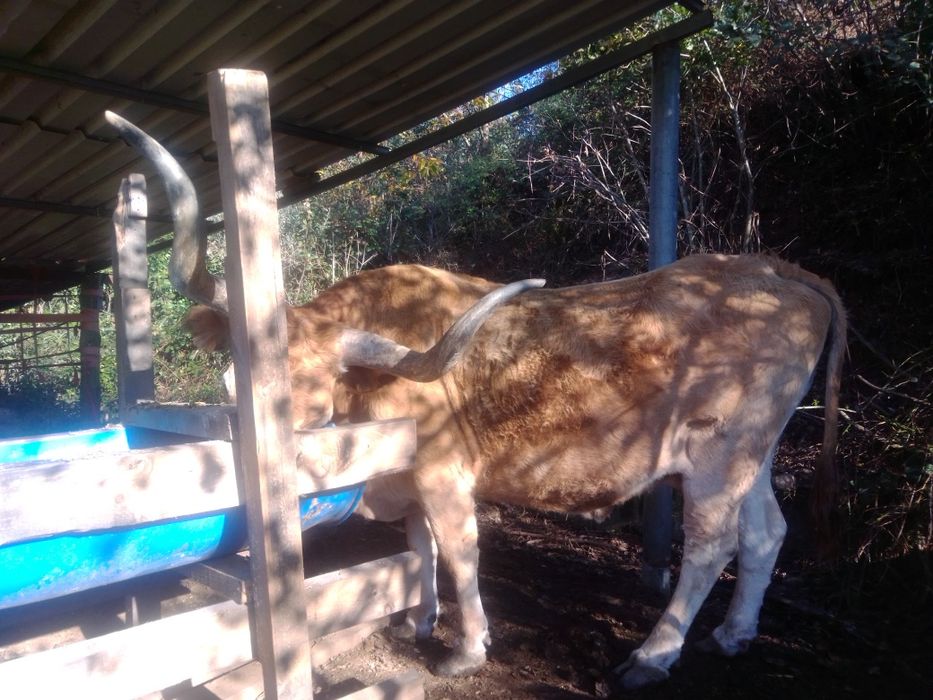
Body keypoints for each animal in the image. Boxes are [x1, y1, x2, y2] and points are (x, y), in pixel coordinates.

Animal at [106, 112, 846, 689]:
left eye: (309, 395)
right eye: (233, 382)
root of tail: (772, 268)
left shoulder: (444, 475)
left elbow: (459, 553)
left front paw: (465, 648)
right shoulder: (409, 484)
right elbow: (419, 547)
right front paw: (418, 618)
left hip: (717, 455)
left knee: (710, 545)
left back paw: (653, 655)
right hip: (754, 451)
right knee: (765, 532)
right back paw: (733, 634)